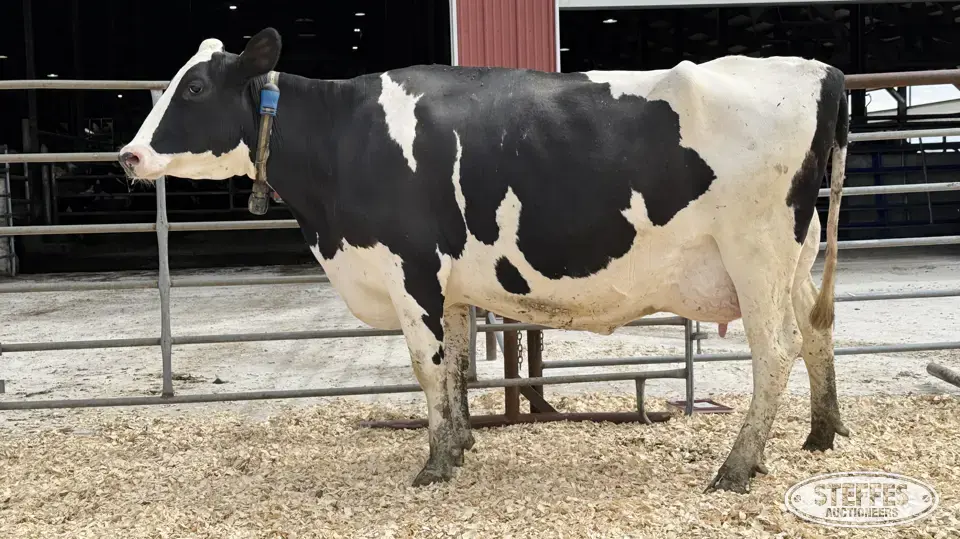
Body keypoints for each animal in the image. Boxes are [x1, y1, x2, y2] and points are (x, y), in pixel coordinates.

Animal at [118, 28, 850, 494]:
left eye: (195, 88)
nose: (128, 154)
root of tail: (820, 70)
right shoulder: (447, 282)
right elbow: (458, 362)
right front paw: (462, 443)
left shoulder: (409, 266)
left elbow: (427, 363)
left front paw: (435, 463)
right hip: (798, 253)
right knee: (817, 330)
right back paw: (823, 433)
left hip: (757, 251)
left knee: (776, 349)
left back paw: (738, 467)